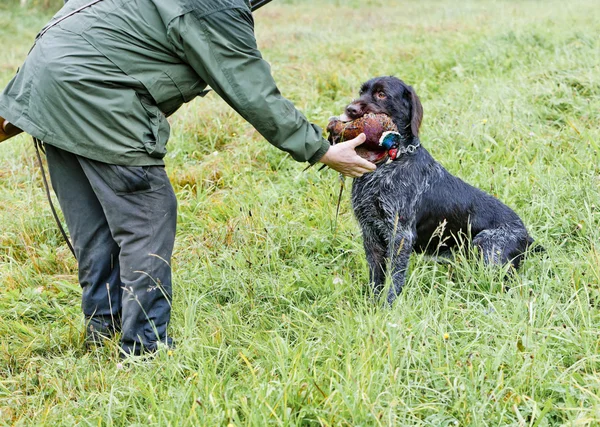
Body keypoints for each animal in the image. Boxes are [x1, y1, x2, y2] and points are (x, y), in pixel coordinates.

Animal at [342, 76, 540, 304]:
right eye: (362, 92)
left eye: (382, 94)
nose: (350, 109)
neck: (389, 162)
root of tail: (526, 235)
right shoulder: (370, 232)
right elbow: (376, 276)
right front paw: (373, 304)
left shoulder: (400, 234)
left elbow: (394, 279)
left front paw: (387, 306)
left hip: (486, 247)